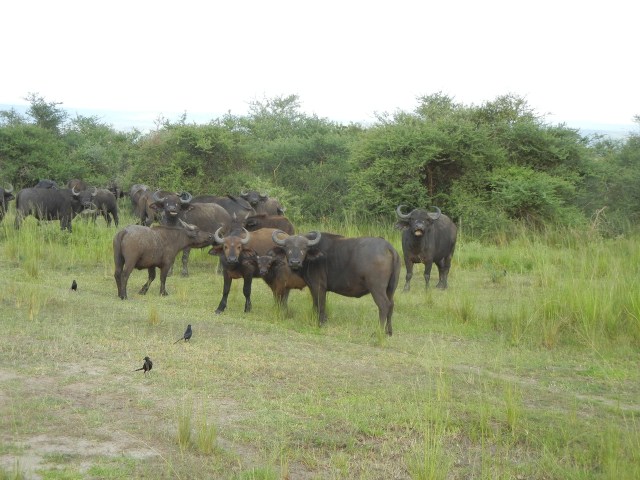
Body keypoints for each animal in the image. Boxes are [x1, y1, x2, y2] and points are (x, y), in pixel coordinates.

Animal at [271, 231, 400, 335]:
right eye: (287, 248)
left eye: (304, 248)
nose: (295, 262)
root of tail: (389, 248)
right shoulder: (313, 287)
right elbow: (315, 304)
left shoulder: (319, 286)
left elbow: (321, 305)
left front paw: (320, 323)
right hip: (391, 289)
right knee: (391, 305)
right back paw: (389, 331)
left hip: (377, 288)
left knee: (384, 305)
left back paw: (378, 332)